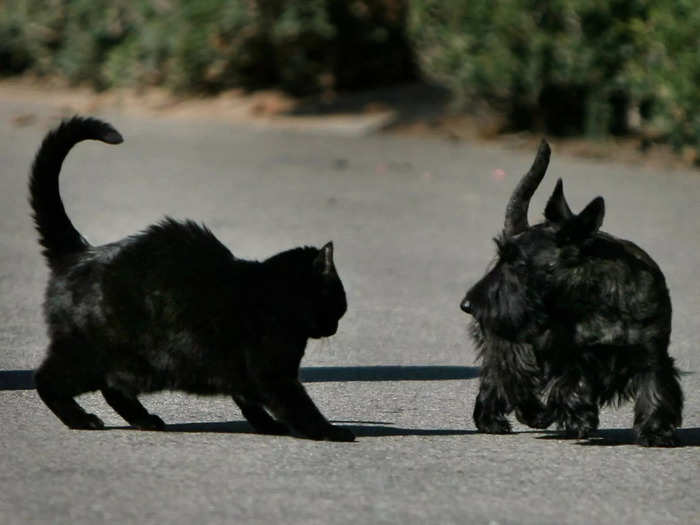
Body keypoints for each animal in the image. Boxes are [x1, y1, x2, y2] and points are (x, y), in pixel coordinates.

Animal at [29, 116, 352, 440]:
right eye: (339, 302)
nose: (335, 328)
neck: (276, 298)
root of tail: (81, 252)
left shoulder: (246, 376)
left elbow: (250, 402)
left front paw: (268, 427)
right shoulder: (272, 374)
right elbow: (298, 407)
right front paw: (329, 431)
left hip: (132, 365)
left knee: (113, 389)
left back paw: (144, 419)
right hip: (91, 355)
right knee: (46, 380)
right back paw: (81, 419)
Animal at [462, 141, 680, 444]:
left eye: (518, 264)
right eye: (501, 258)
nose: (468, 305)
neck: (595, 300)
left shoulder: (652, 353)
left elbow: (655, 388)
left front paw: (656, 430)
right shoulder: (570, 357)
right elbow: (571, 384)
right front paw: (578, 417)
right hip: (511, 346)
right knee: (505, 379)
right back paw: (507, 418)